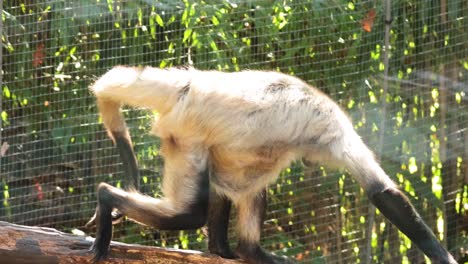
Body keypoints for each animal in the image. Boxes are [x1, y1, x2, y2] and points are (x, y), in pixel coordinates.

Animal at [88, 66, 458, 264]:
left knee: (235, 186)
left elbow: (233, 183)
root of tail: (190, 84)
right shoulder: (333, 128)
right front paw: (445, 258)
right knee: (191, 212)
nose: (309, 162)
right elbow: (383, 193)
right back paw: (106, 196)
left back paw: (239, 250)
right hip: (186, 130)